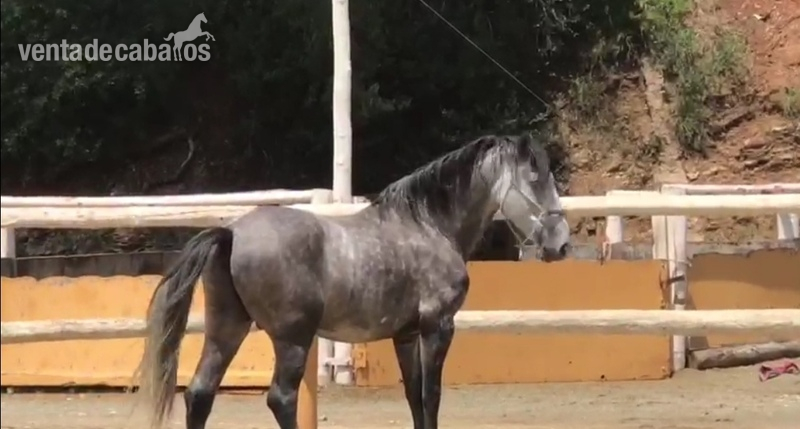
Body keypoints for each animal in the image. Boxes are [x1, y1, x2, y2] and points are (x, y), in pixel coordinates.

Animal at [135, 133, 571, 429]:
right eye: (535, 178)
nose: (562, 244)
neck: (429, 225)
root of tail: (232, 233)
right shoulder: (438, 327)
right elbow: (431, 395)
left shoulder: (406, 334)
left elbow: (414, 395)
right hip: (292, 339)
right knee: (281, 398)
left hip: (227, 328)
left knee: (200, 394)